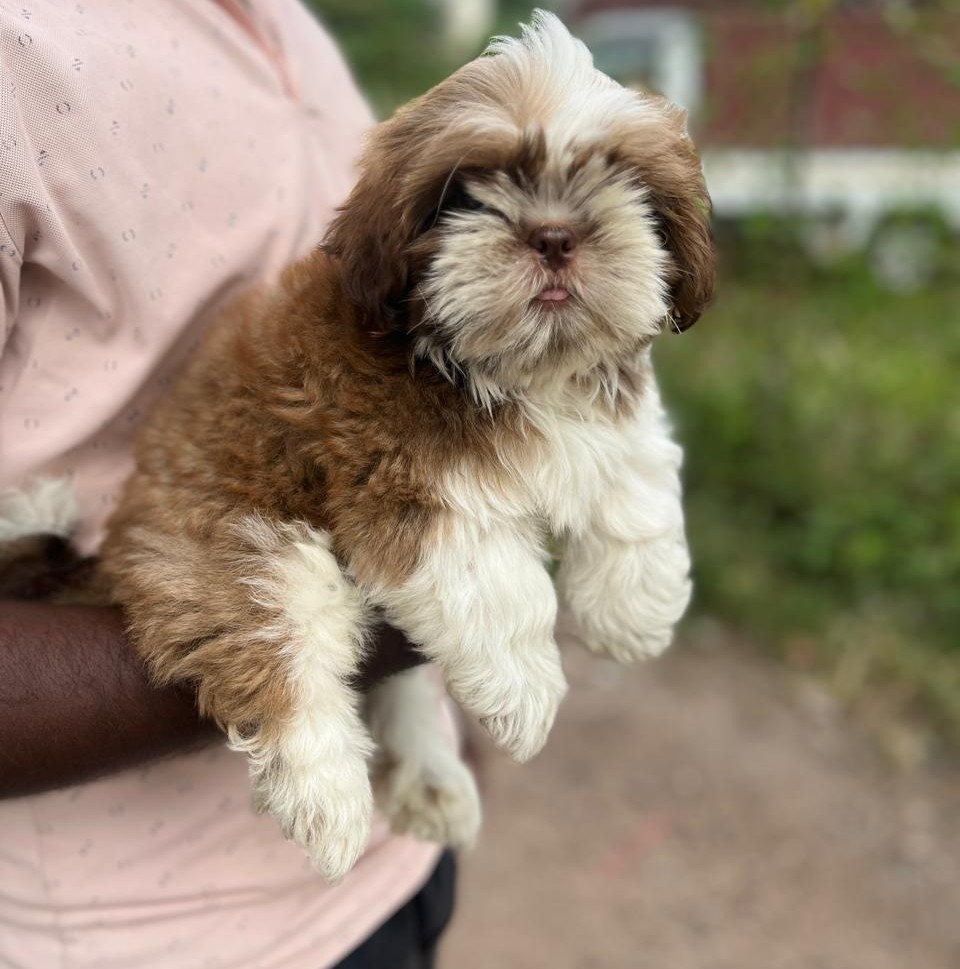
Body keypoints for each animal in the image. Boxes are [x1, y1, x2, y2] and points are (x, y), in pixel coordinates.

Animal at [1, 11, 712, 880]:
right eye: (470, 192)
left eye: (620, 179)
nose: (553, 236)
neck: (509, 368)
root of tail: (120, 543)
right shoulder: (402, 481)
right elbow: (493, 580)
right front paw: (525, 689)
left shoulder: (601, 416)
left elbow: (635, 472)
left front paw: (634, 609)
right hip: (227, 540)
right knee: (280, 634)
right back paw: (328, 798)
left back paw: (430, 776)